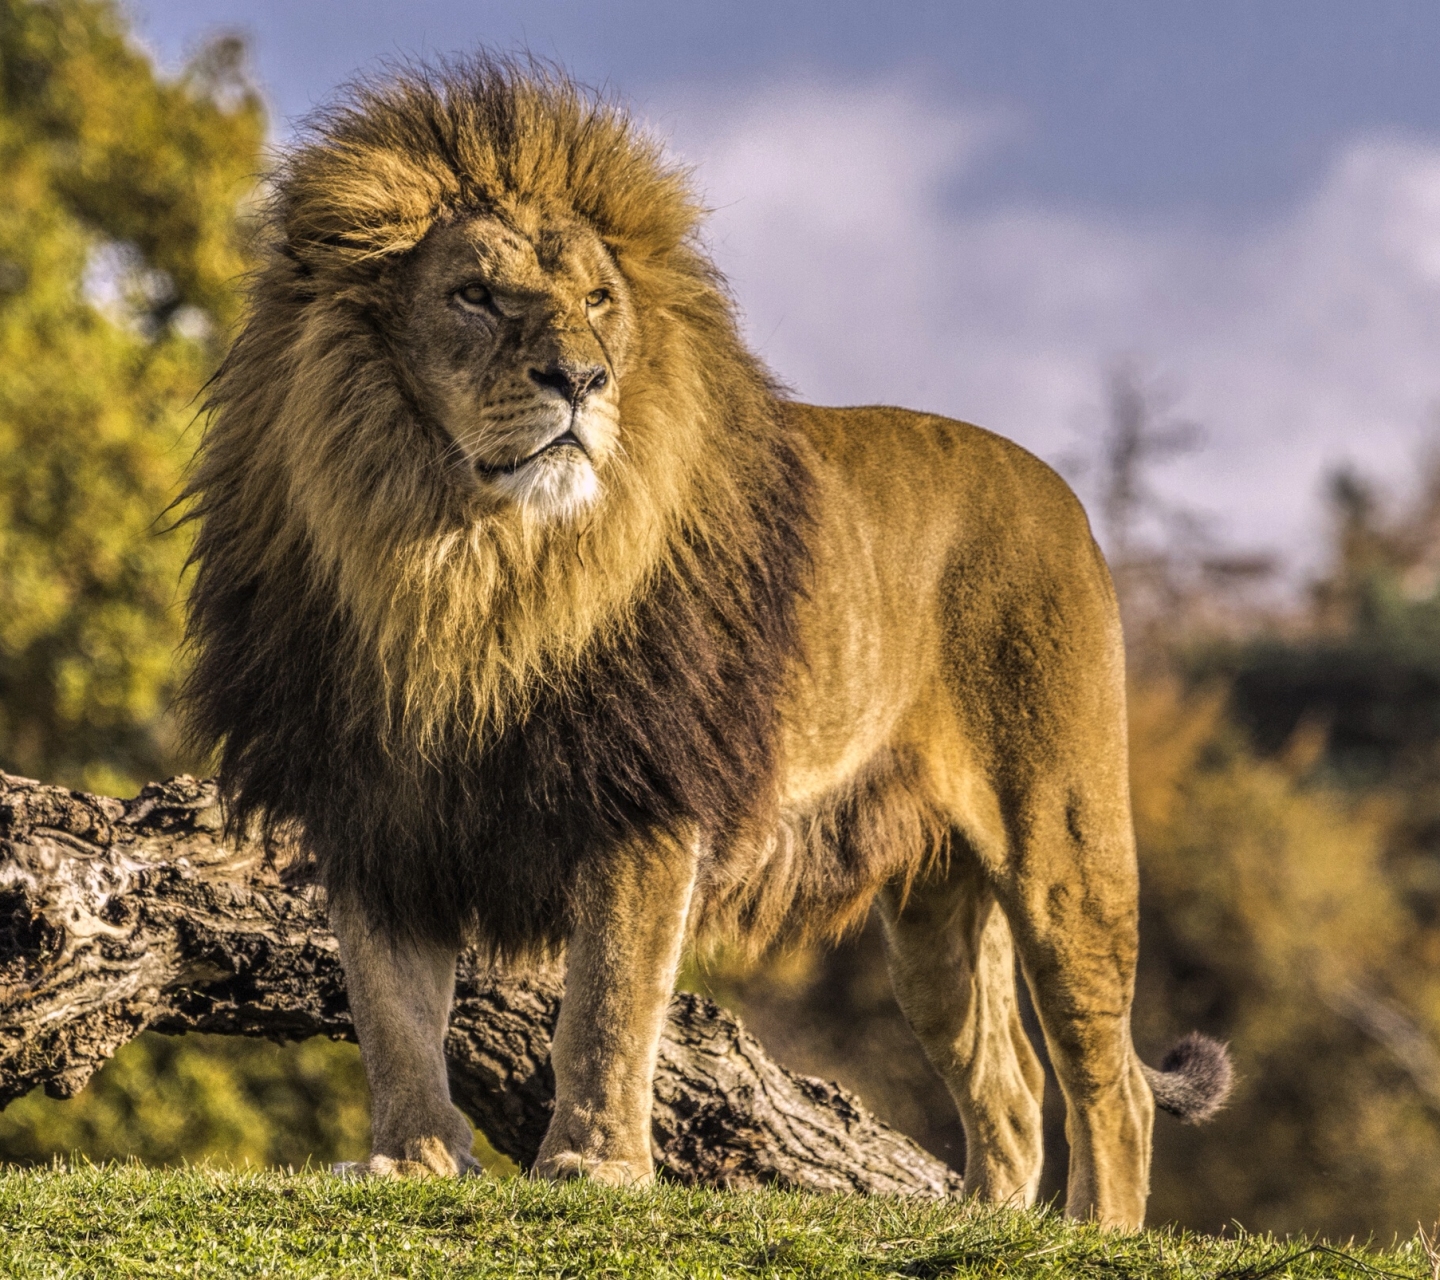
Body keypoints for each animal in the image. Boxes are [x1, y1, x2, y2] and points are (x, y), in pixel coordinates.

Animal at [185, 55, 1232, 1220]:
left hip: (1064, 850)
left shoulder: (643, 790)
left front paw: (595, 1165)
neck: (462, 567)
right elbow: (392, 1009)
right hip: (933, 918)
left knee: (1113, 1087)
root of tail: (1067, 501)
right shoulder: (374, 804)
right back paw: (999, 1219)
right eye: (475, 296)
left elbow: (608, 999)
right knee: (1008, 1093)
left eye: (599, 302)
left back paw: (1098, 1232)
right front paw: (408, 1159)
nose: (582, 379)